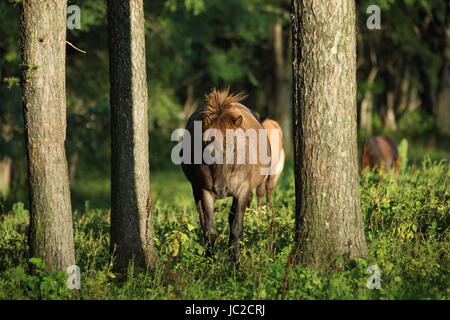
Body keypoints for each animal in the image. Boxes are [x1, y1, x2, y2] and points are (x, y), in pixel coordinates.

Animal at [180, 86, 270, 262]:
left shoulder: (242, 190)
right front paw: (210, 262)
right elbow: (210, 231)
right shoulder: (205, 191)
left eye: (234, 148)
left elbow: (236, 228)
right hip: (196, 190)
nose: (220, 188)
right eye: (207, 146)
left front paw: (234, 261)